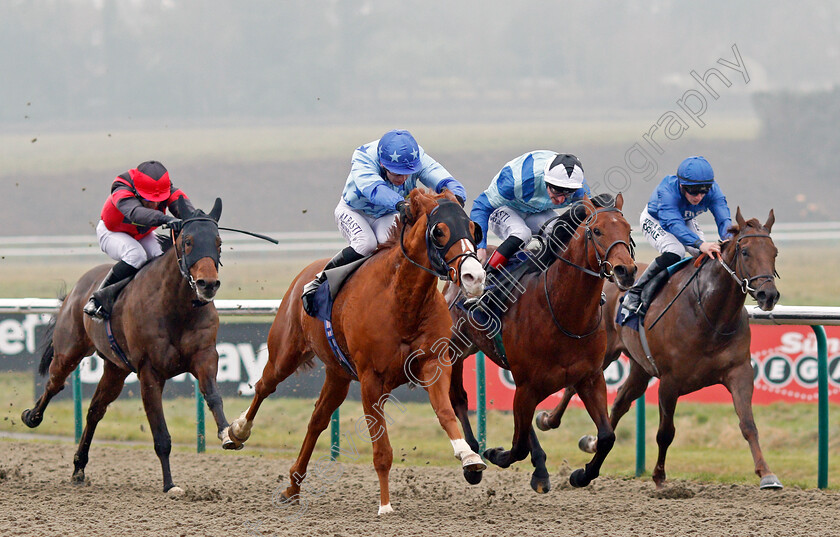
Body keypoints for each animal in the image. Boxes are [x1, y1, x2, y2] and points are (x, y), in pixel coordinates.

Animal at [21, 200, 236, 494]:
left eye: (218, 241)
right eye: (188, 241)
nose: (208, 284)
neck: (176, 308)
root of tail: (76, 290)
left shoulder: (204, 357)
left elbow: (213, 395)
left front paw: (228, 433)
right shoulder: (149, 372)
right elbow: (161, 434)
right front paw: (169, 484)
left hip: (116, 369)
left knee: (95, 410)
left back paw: (79, 467)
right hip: (69, 352)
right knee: (54, 384)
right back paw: (32, 416)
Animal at [223, 188, 486, 516]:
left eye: (474, 229)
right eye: (439, 231)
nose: (475, 277)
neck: (403, 302)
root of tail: (304, 274)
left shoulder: (433, 363)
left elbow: (446, 412)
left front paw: (469, 456)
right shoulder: (371, 378)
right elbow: (381, 450)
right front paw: (385, 505)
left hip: (338, 374)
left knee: (317, 420)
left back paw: (293, 487)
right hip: (284, 353)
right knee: (263, 387)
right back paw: (237, 432)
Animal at [446, 195, 636, 492]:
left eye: (628, 230)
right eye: (597, 231)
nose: (625, 270)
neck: (564, 312)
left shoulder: (590, 378)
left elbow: (606, 437)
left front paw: (580, 475)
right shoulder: (527, 385)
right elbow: (517, 446)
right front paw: (494, 454)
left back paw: (540, 470)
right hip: (456, 348)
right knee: (459, 398)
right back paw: (474, 457)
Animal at [540, 207, 780, 488]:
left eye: (774, 252)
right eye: (746, 252)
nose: (768, 295)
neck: (710, 313)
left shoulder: (739, 371)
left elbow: (748, 424)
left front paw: (767, 474)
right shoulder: (670, 380)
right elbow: (666, 432)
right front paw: (659, 476)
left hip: (640, 367)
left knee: (621, 401)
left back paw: (592, 443)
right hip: (603, 352)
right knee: (572, 387)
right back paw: (548, 420)